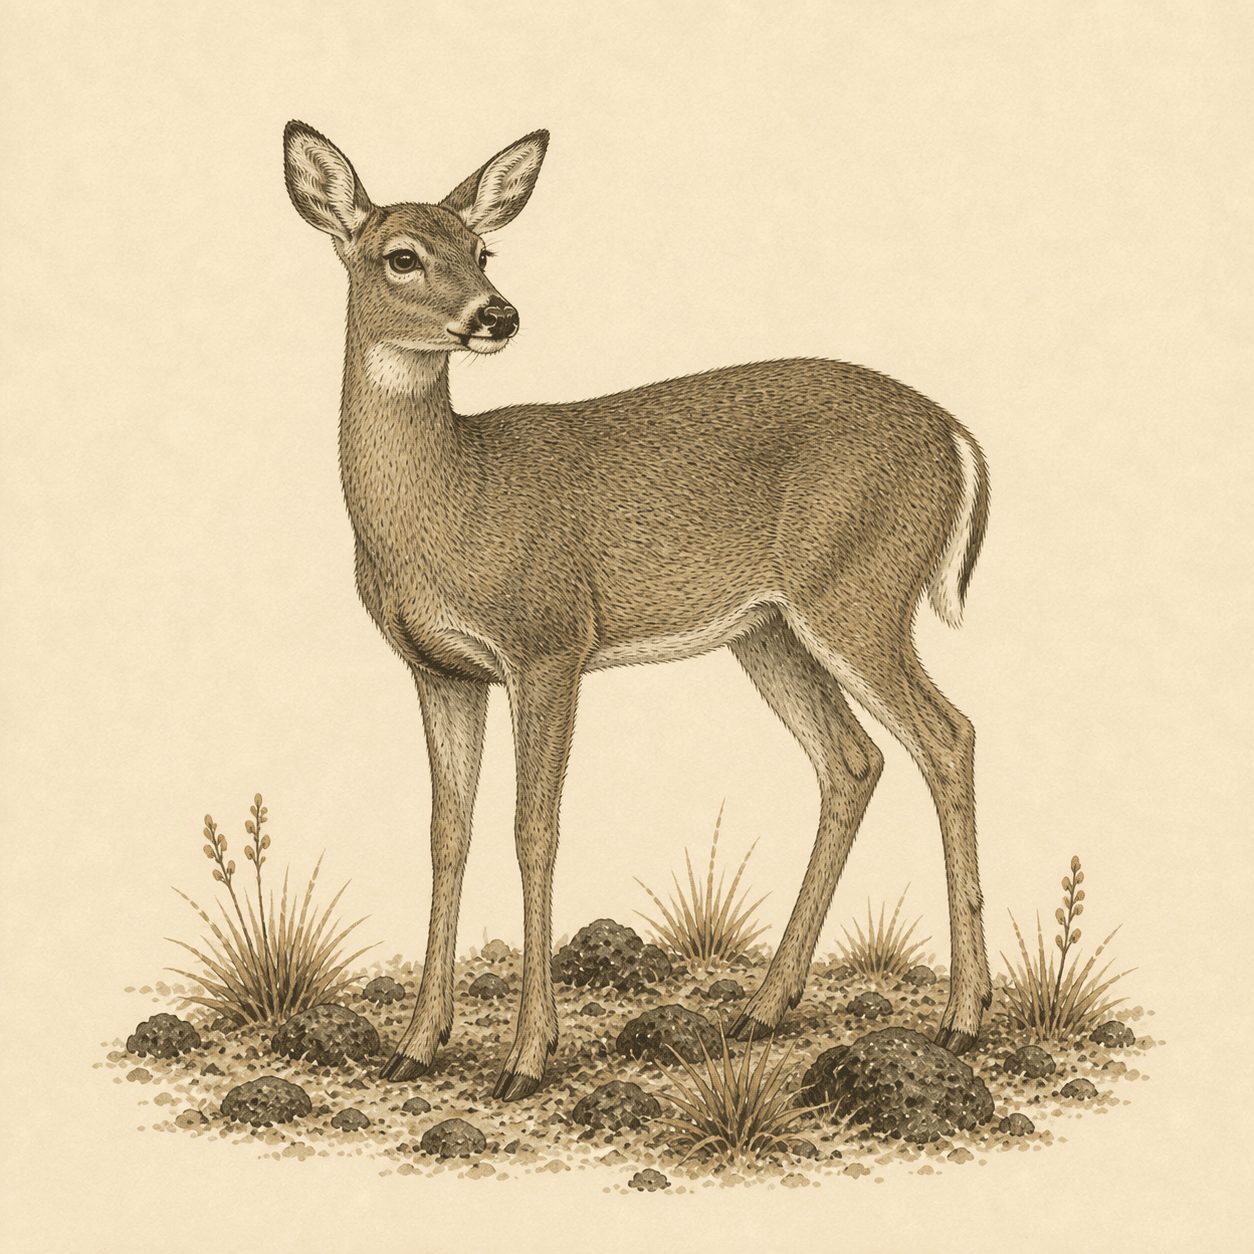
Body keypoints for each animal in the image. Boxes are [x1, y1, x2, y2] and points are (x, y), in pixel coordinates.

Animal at [283, 120, 992, 1101]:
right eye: (402, 256)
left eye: (483, 248)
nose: (497, 315)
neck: (452, 499)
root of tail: (957, 437)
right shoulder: (440, 670)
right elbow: (446, 834)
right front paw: (417, 1044)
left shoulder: (548, 642)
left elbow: (533, 830)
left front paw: (526, 1058)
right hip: (771, 628)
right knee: (853, 760)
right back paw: (763, 1008)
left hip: (858, 591)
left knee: (948, 735)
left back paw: (963, 1019)